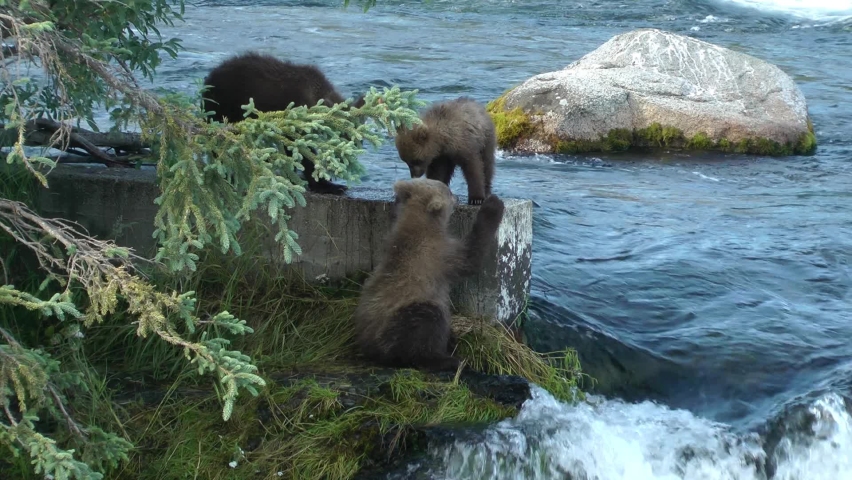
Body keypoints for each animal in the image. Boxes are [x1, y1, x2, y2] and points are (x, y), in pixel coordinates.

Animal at [202, 51, 366, 195]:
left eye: (358, 139)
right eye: (342, 135)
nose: (347, 160)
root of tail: (207, 81)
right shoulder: (295, 115)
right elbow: (302, 150)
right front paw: (325, 184)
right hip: (223, 109)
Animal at [352, 178, 505, 371]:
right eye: (448, 190)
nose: (456, 196)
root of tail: (371, 349)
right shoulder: (439, 254)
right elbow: (471, 256)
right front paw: (492, 205)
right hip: (403, 314)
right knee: (426, 325)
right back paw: (449, 359)